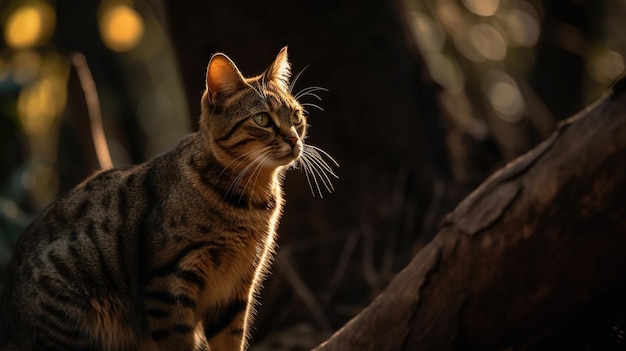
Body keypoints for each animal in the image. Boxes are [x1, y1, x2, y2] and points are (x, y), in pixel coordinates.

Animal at [0, 47, 336, 351]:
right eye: (262, 119)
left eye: (296, 116)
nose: (294, 139)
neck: (251, 201)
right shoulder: (167, 283)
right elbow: (180, 342)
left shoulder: (235, 289)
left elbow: (231, 341)